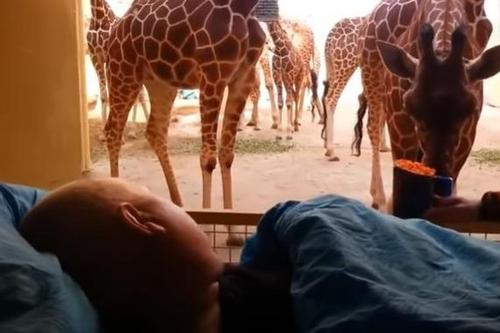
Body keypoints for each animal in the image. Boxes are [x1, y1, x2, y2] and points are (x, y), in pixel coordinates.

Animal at [104, 0, 266, 244]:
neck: (245, 8)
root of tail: (115, 28)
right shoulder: (212, 76)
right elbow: (208, 159)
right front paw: (209, 222)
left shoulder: (243, 77)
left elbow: (227, 156)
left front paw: (233, 231)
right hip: (123, 73)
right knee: (113, 130)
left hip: (160, 82)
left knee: (154, 131)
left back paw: (179, 205)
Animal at [354, 0, 500, 209]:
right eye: (408, 105)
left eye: (470, 108)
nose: (437, 183)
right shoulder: (399, 121)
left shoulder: (468, 133)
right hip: (370, 75)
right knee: (372, 126)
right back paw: (379, 198)